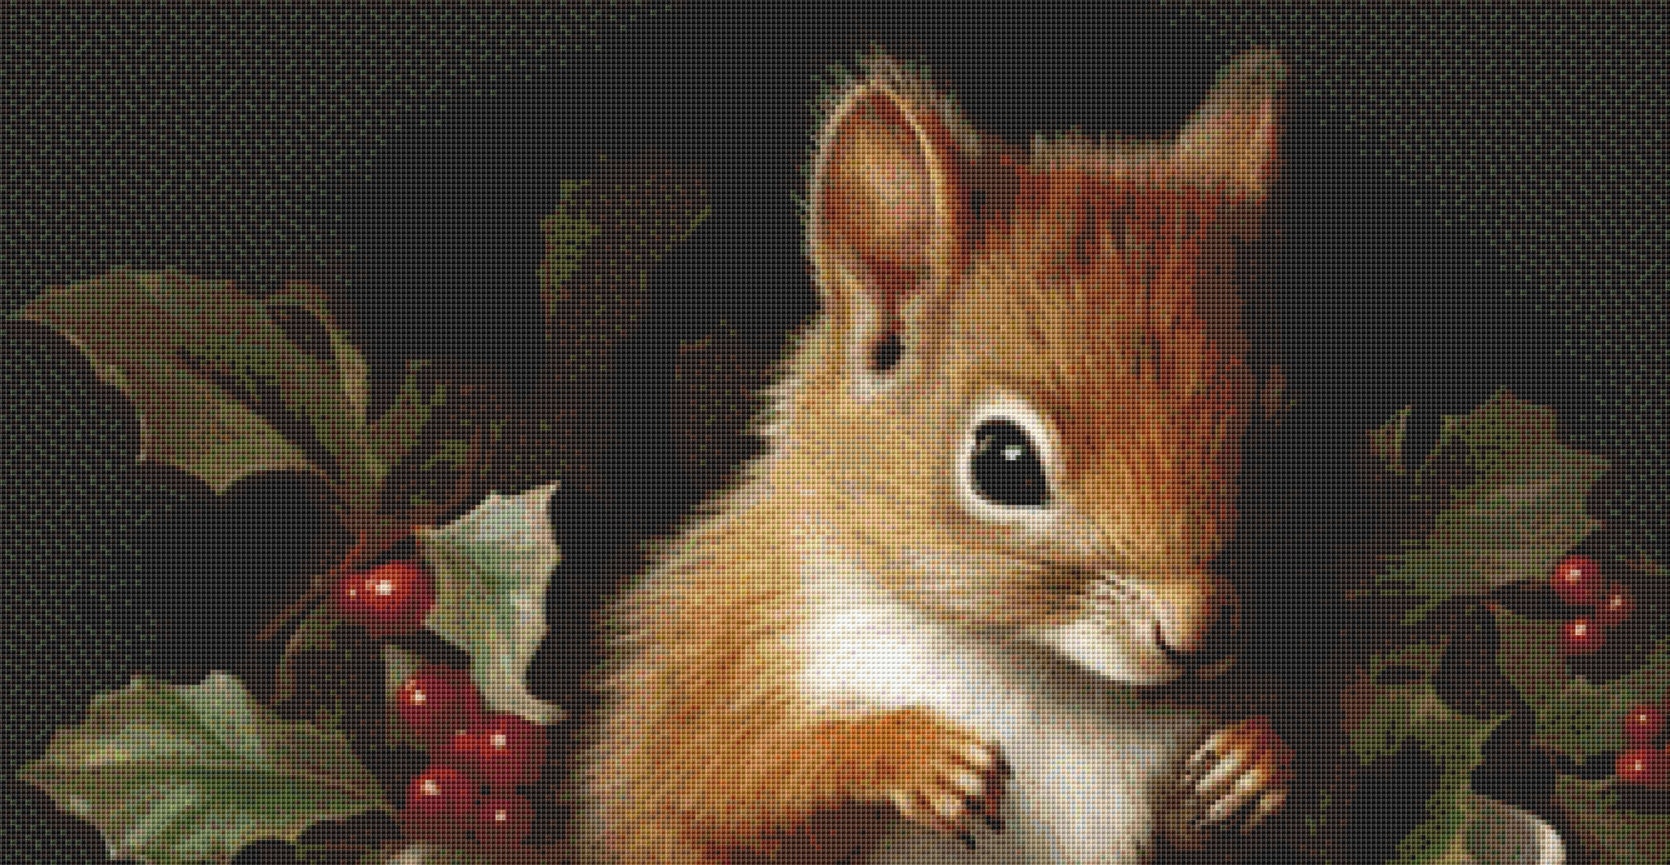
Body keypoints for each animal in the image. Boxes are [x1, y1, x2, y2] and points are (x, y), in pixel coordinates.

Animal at [565, 48, 1297, 863]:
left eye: (1272, 438)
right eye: (1004, 462)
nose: (1195, 632)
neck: (1045, 669)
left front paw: (1259, 757)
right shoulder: (723, 659)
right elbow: (724, 783)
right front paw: (909, 754)